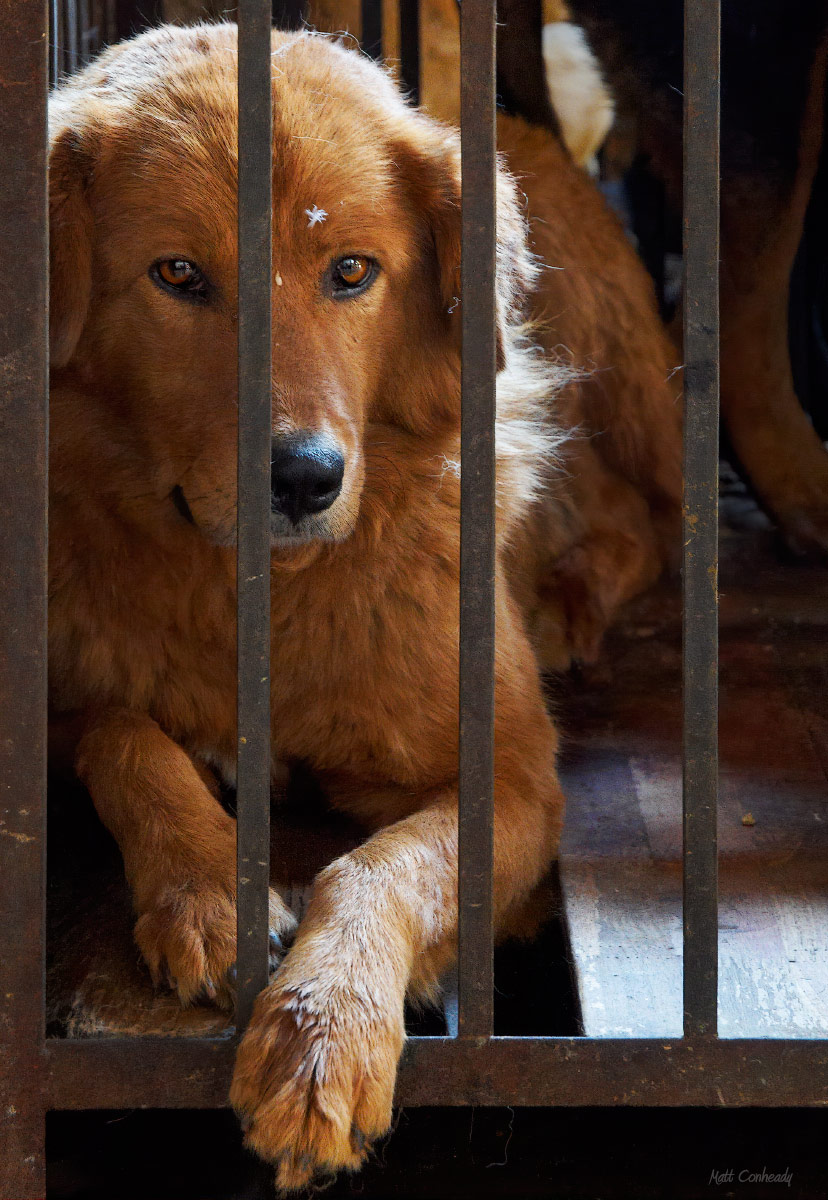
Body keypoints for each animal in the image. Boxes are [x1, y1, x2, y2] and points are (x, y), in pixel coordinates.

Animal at [46, 21, 676, 1190]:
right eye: (177, 275)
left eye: (351, 272)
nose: (304, 477)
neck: (262, 600)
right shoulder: (56, 699)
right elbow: (123, 733)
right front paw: (209, 887)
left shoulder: (515, 785)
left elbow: (380, 866)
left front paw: (322, 1032)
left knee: (643, 517)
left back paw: (569, 599)